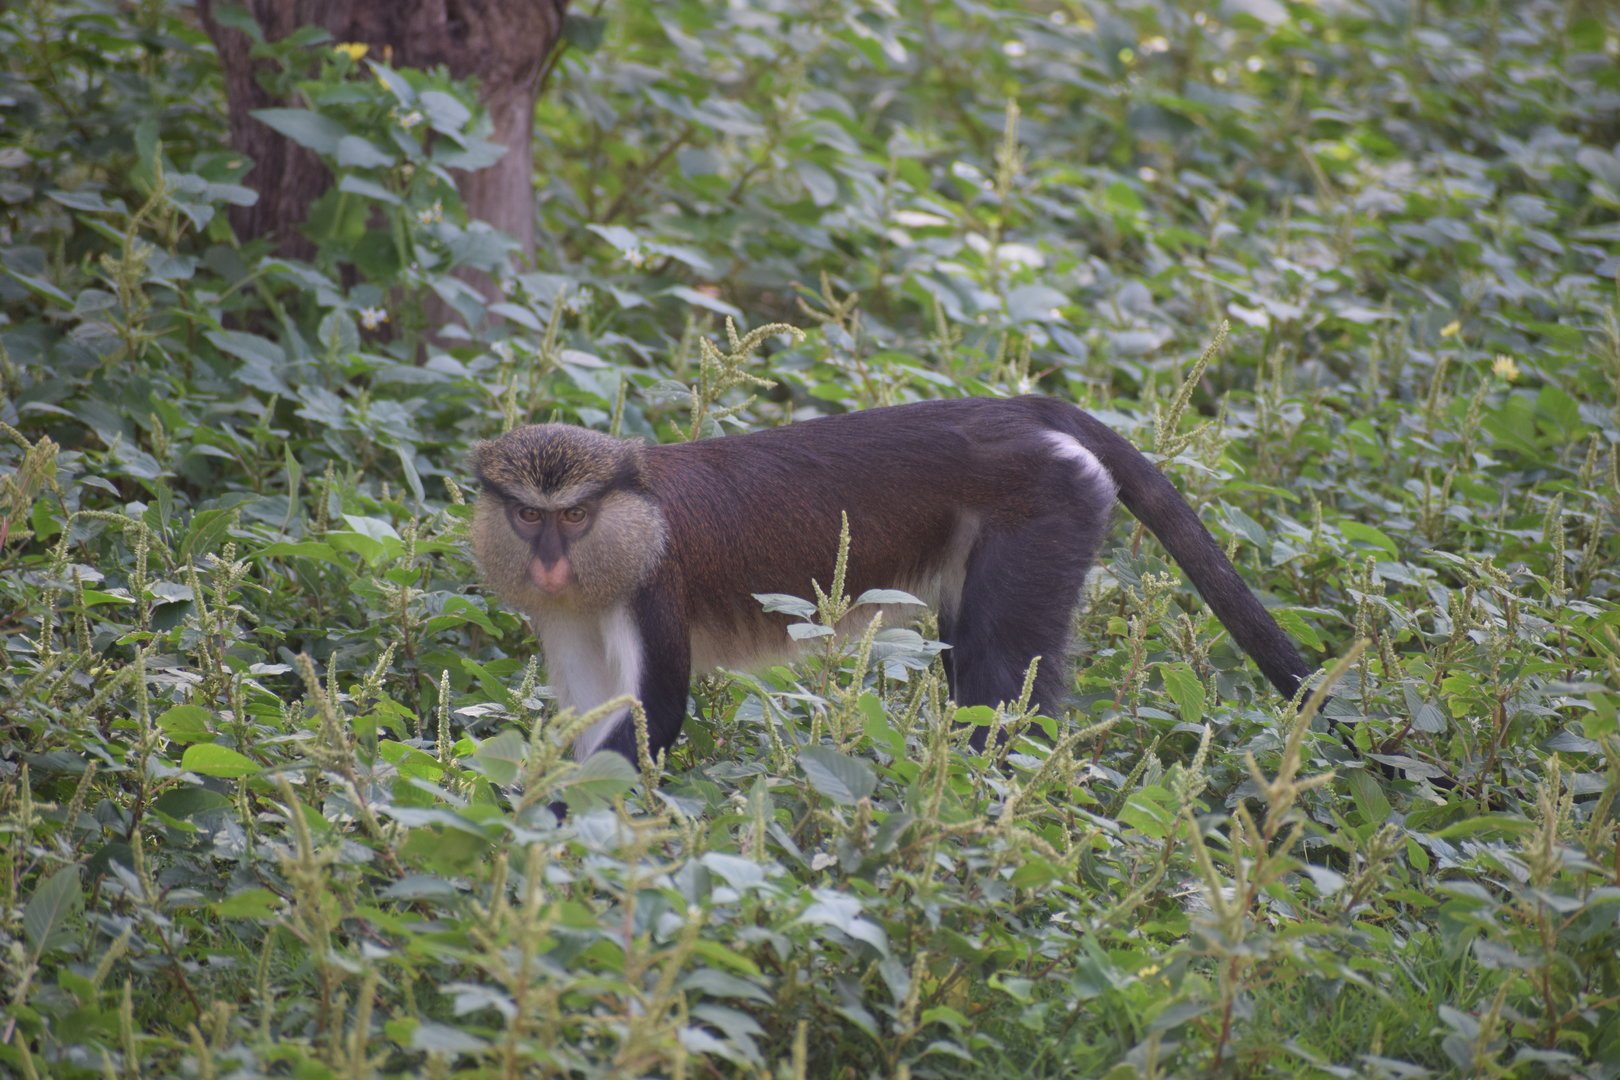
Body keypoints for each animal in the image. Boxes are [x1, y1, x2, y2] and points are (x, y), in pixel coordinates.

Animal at [469, 395, 1318, 769]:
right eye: (527, 516)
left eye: (576, 516)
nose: (549, 563)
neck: (629, 520)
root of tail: (1015, 407)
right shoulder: (567, 613)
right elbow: (591, 717)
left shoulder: (653, 589)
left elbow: (653, 718)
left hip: (1049, 509)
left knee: (997, 673)